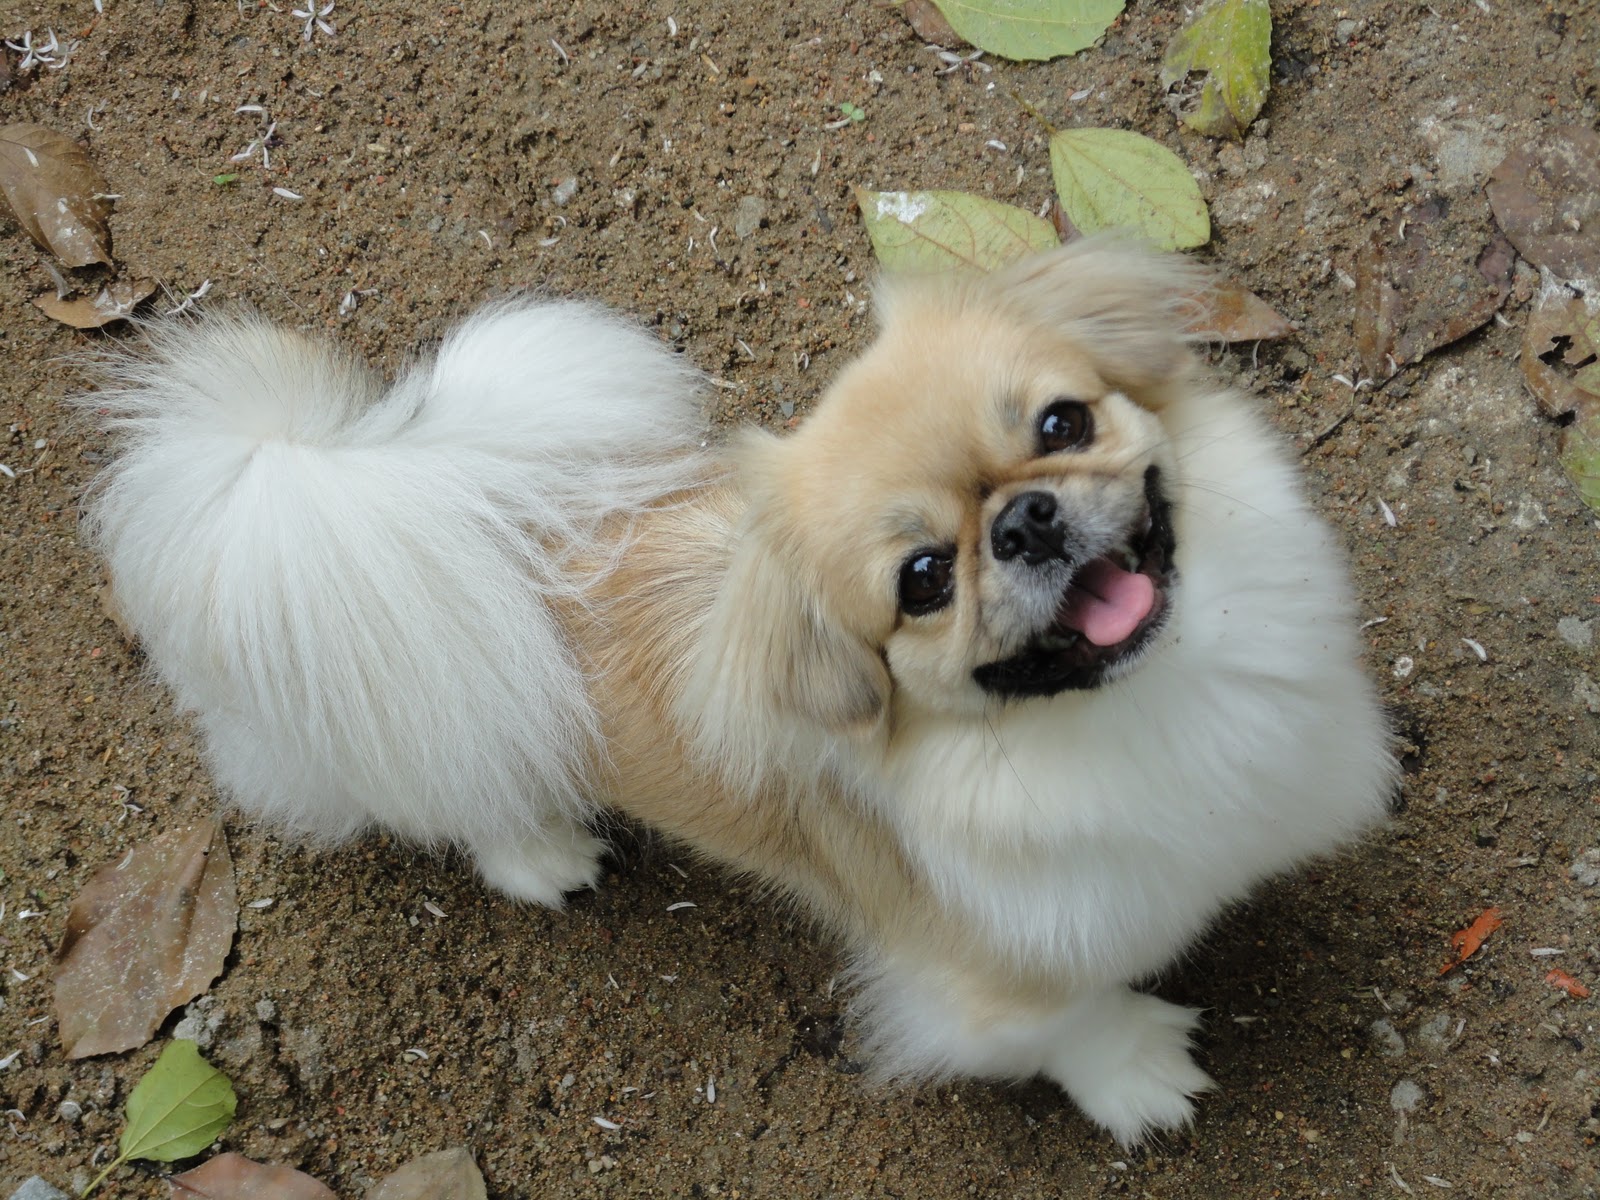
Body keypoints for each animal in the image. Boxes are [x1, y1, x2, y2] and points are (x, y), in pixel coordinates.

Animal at [78, 240, 1393, 1145]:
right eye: (922, 580)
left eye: (1062, 421)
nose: (1023, 519)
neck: (1138, 702)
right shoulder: (990, 972)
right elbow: (1070, 1024)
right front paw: (1137, 1073)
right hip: (411, 731)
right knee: (459, 800)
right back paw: (542, 852)